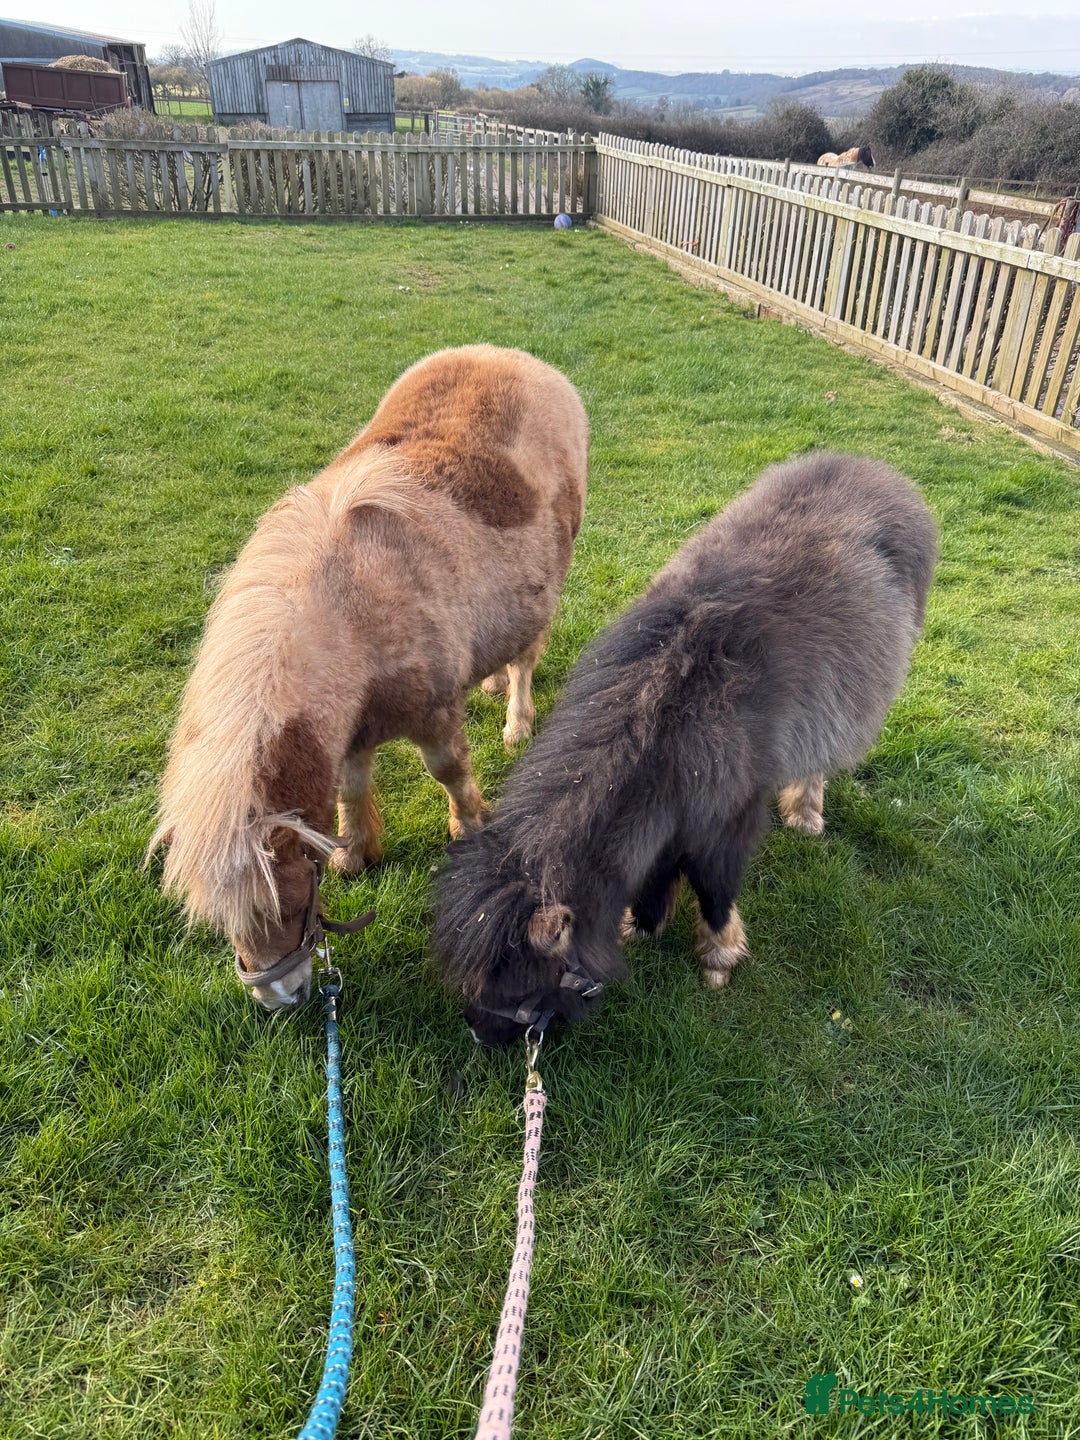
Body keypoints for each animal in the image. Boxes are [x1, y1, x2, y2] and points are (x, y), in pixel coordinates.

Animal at [148, 345, 589, 1010]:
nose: (278, 999)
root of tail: (511, 356)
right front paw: (355, 853)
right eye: (225, 923)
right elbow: (351, 790)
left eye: (287, 902)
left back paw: (516, 721)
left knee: (524, 660)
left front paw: (469, 827)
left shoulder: (435, 715)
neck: (354, 610)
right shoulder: (350, 730)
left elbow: (449, 772)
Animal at [433, 451, 936, 1047]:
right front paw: (644, 924)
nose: (480, 1032)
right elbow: (656, 875)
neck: (673, 718)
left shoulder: (731, 821)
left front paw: (719, 956)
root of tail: (874, 470)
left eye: (521, 981)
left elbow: (715, 888)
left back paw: (806, 814)